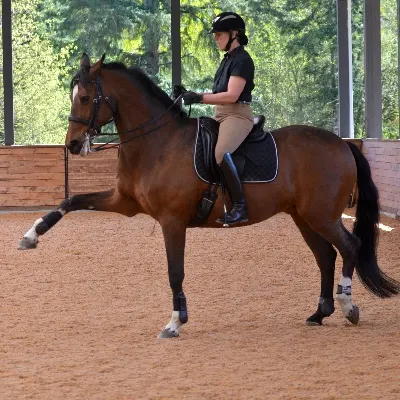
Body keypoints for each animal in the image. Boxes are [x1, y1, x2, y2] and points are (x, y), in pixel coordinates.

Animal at [18, 54, 400, 338]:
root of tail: (343, 145)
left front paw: (175, 321)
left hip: (321, 214)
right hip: (303, 216)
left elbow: (175, 271)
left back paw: (348, 307)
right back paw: (319, 313)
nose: (72, 145)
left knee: (349, 247)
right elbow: (70, 201)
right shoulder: (122, 202)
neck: (157, 143)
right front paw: (31, 236)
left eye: (85, 98)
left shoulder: (172, 221)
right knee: (326, 255)